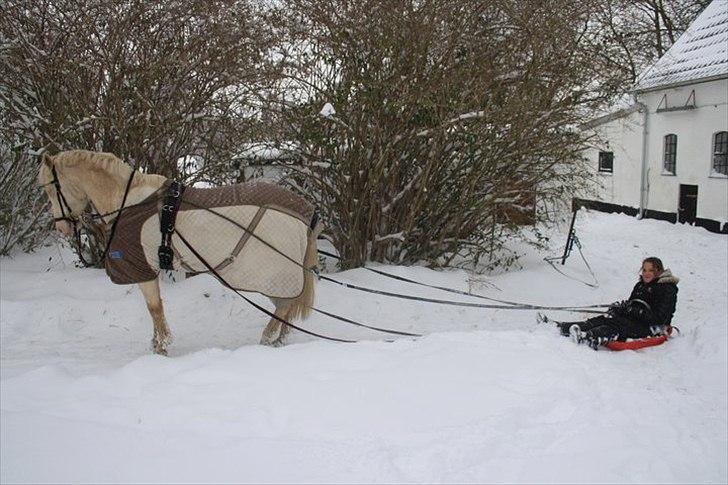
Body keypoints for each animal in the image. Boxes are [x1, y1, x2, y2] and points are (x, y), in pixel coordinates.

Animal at [38, 149, 320, 354]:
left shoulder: (144, 268)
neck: (127, 202)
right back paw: (278, 340)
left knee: (283, 308)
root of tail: (306, 213)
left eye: (51, 189)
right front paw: (157, 343)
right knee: (285, 309)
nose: (61, 227)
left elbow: (154, 308)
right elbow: (155, 308)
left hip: (275, 278)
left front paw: (161, 346)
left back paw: (267, 339)